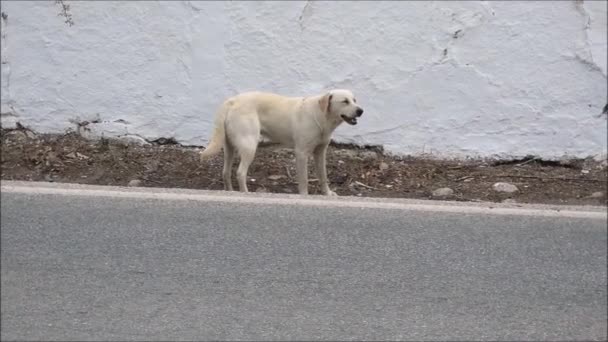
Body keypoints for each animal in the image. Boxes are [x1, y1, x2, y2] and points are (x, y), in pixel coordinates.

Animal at [200, 89, 364, 195]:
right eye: (345, 101)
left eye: (355, 100)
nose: (361, 111)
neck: (321, 114)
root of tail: (232, 101)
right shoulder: (301, 153)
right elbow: (304, 179)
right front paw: (304, 195)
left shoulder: (320, 152)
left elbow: (323, 176)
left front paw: (327, 194)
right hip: (249, 146)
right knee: (240, 173)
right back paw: (245, 193)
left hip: (229, 148)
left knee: (226, 172)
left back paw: (231, 192)